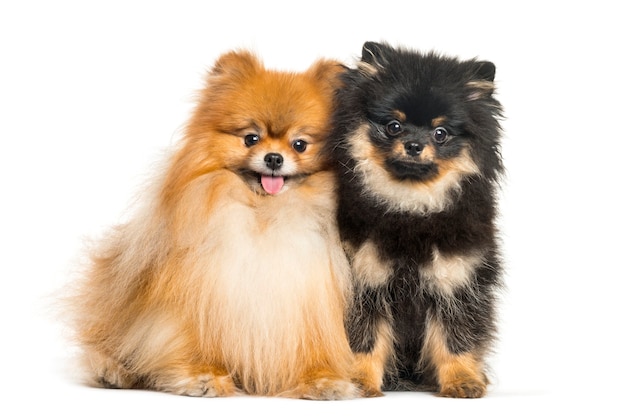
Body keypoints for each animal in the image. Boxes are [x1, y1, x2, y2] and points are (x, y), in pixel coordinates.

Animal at [65, 50, 358, 402]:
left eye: (300, 144)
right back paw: (112, 371)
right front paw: (202, 374)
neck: (264, 216)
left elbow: (314, 349)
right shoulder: (197, 289)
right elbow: (187, 337)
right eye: (250, 138)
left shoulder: (307, 303)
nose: (274, 158)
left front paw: (323, 380)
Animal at [332, 42, 502, 400]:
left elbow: (455, 338)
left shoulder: (456, 281)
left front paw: (462, 380)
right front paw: (360, 380)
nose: (414, 144)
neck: (410, 209)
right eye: (394, 126)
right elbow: (364, 339)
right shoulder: (364, 281)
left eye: (440, 133)